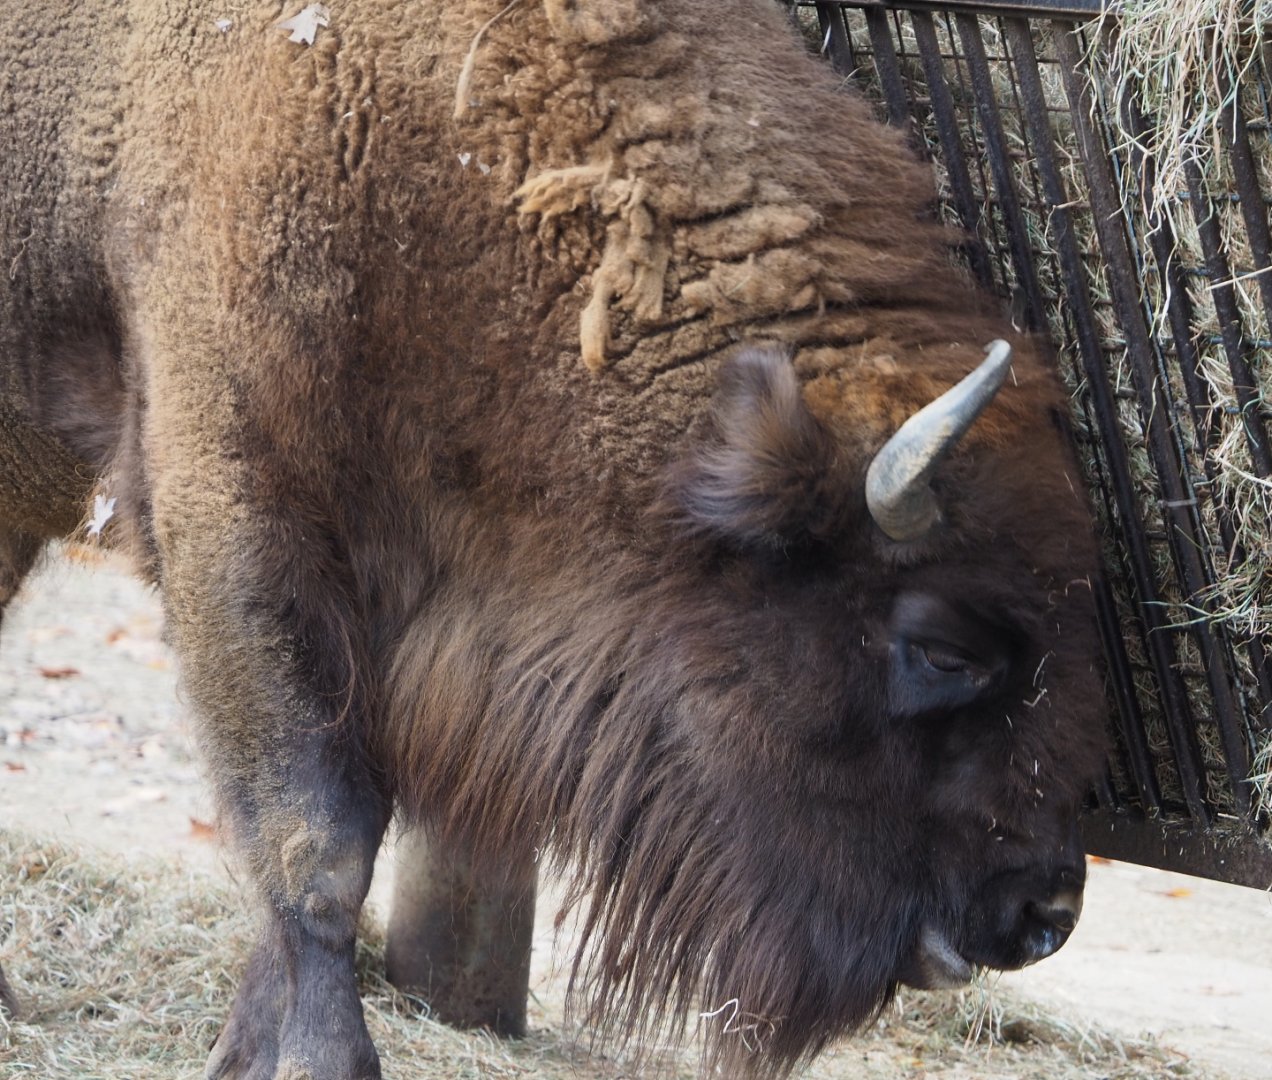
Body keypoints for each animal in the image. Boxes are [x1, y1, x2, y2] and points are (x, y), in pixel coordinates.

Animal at [0, 0, 1106, 1076]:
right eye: (945, 650)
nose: (1043, 913)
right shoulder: (239, 515)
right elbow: (315, 837)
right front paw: (321, 1060)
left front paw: (246, 1051)